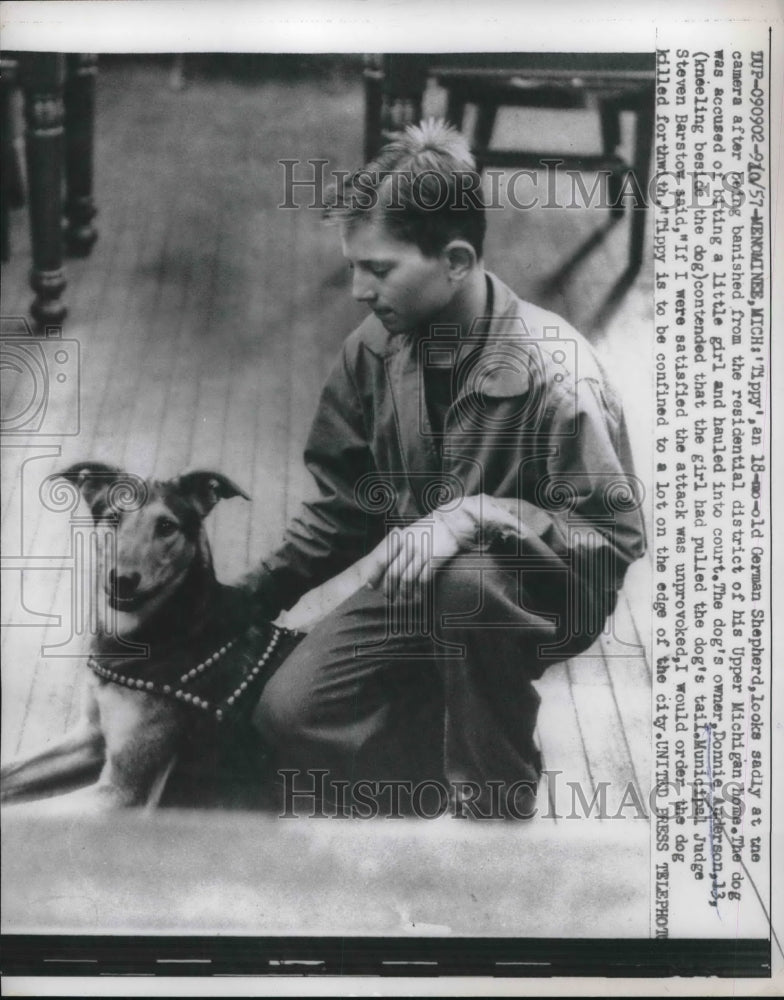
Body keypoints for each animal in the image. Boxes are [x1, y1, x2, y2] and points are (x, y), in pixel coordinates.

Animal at [0, 460, 302, 812]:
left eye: (167, 526)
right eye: (113, 518)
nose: (122, 580)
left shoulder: (122, 790)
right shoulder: (90, 735)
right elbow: (10, 768)